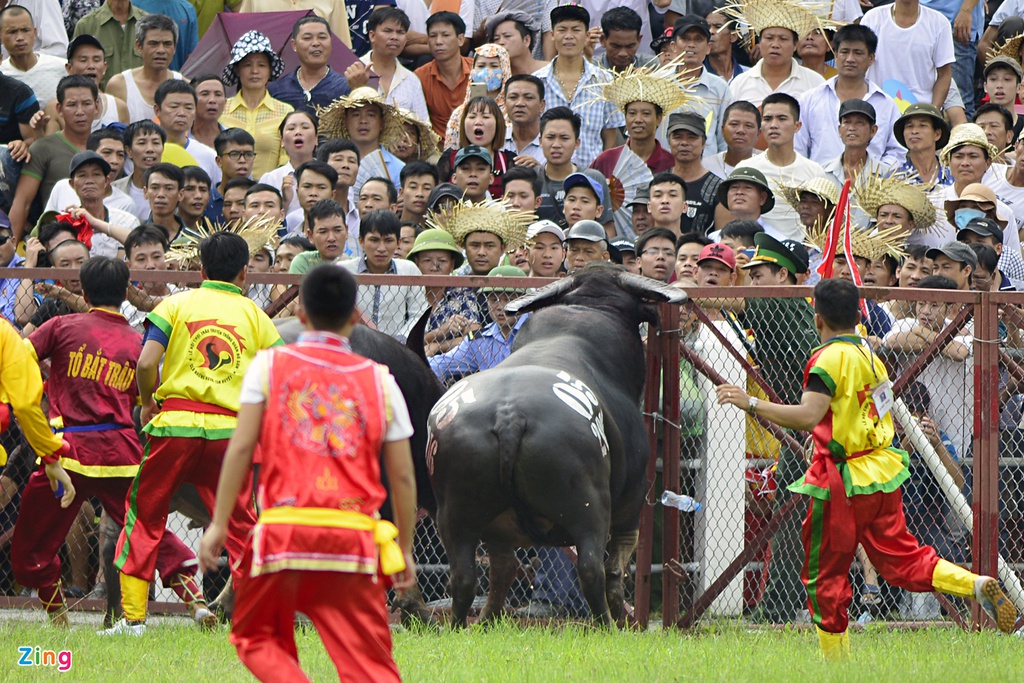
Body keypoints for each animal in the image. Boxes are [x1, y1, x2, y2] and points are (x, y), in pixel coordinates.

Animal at [428, 264, 684, 626]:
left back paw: (470, 623)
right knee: (592, 569)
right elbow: (616, 569)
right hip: (589, 507)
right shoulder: (632, 501)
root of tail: (509, 415)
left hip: (454, 514)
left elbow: (501, 570)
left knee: (468, 576)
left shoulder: (496, 531)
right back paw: (607, 624)